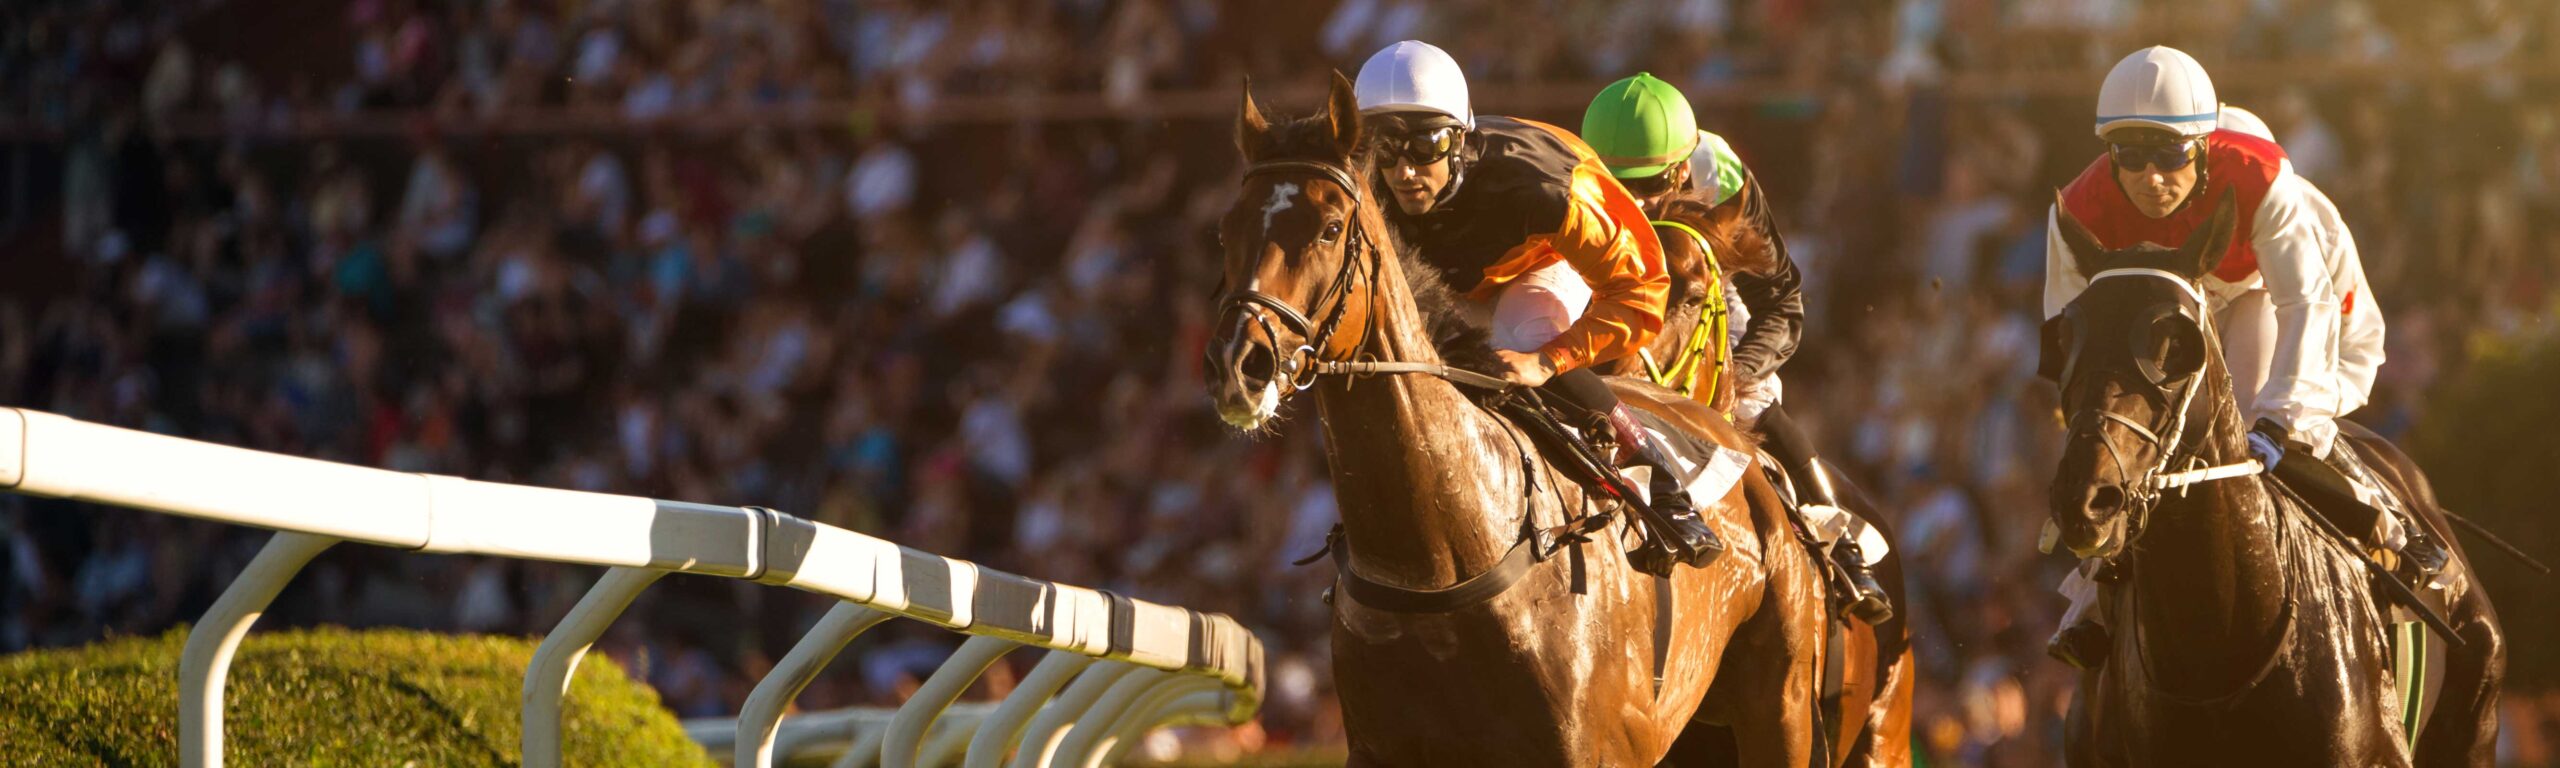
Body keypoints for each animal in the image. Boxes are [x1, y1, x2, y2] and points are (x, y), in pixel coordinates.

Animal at [1208, 72, 1832, 768]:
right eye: (1227, 230)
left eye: (1329, 227)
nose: (1239, 364)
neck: (1443, 556)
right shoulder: (1377, 747)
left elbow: (1636, 281)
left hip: (1779, 707)